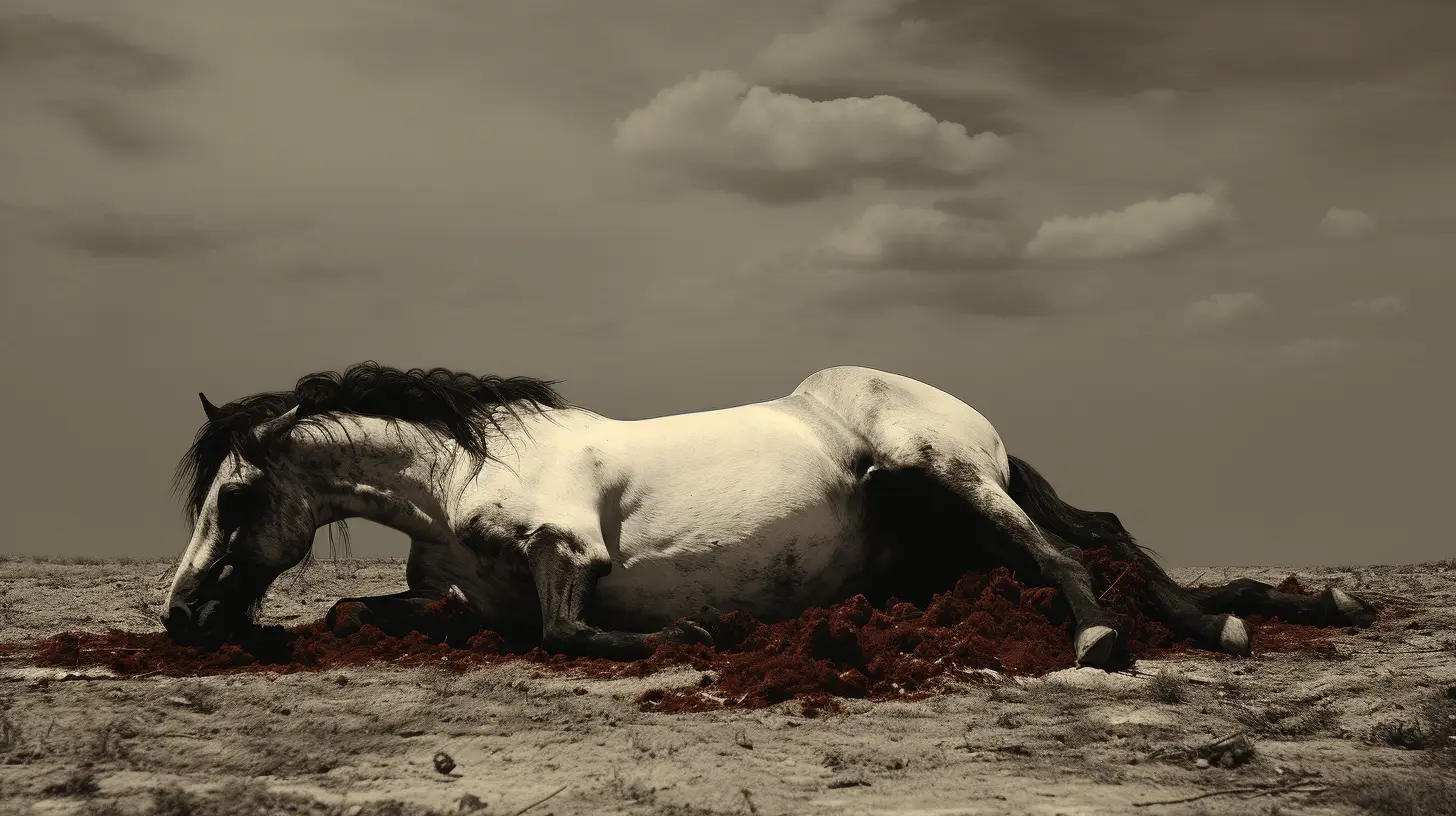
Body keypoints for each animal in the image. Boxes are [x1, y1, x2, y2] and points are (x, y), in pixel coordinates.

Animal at [162, 362, 1378, 668]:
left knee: (1052, 551)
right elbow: (358, 617)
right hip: (936, 520)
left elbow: (566, 630)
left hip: (936, 468)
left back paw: (1101, 636)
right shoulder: (459, 597)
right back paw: (1244, 617)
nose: (176, 617)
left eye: (234, 497)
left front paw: (697, 631)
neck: (459, 481)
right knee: (1104, 535)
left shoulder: (570, 548)